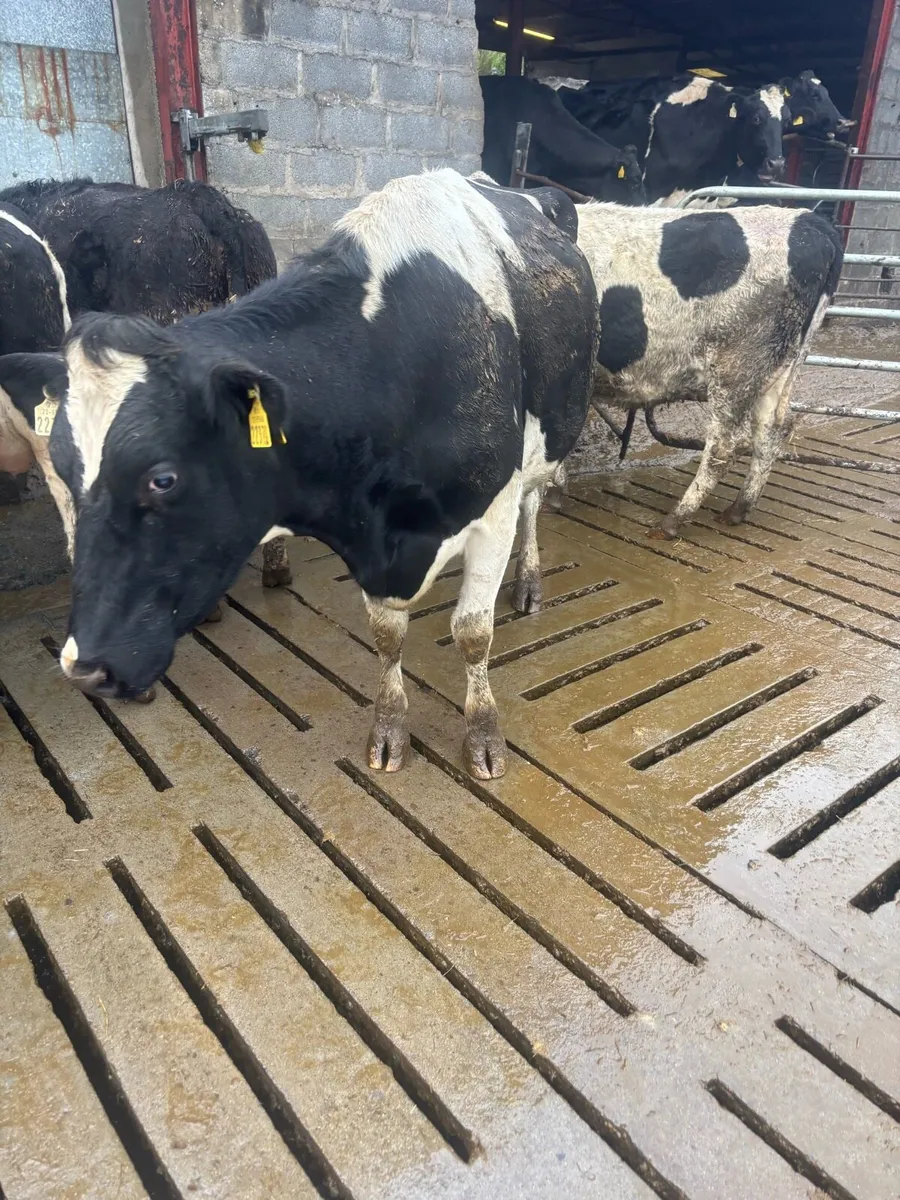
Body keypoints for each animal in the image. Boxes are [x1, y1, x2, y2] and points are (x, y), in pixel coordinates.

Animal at [575, 202, 843, 536]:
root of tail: (811, 221)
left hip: (736, 365)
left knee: (723, 446)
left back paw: (673, 521)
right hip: (779, 367)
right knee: (772, 430)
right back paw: (738, 510)